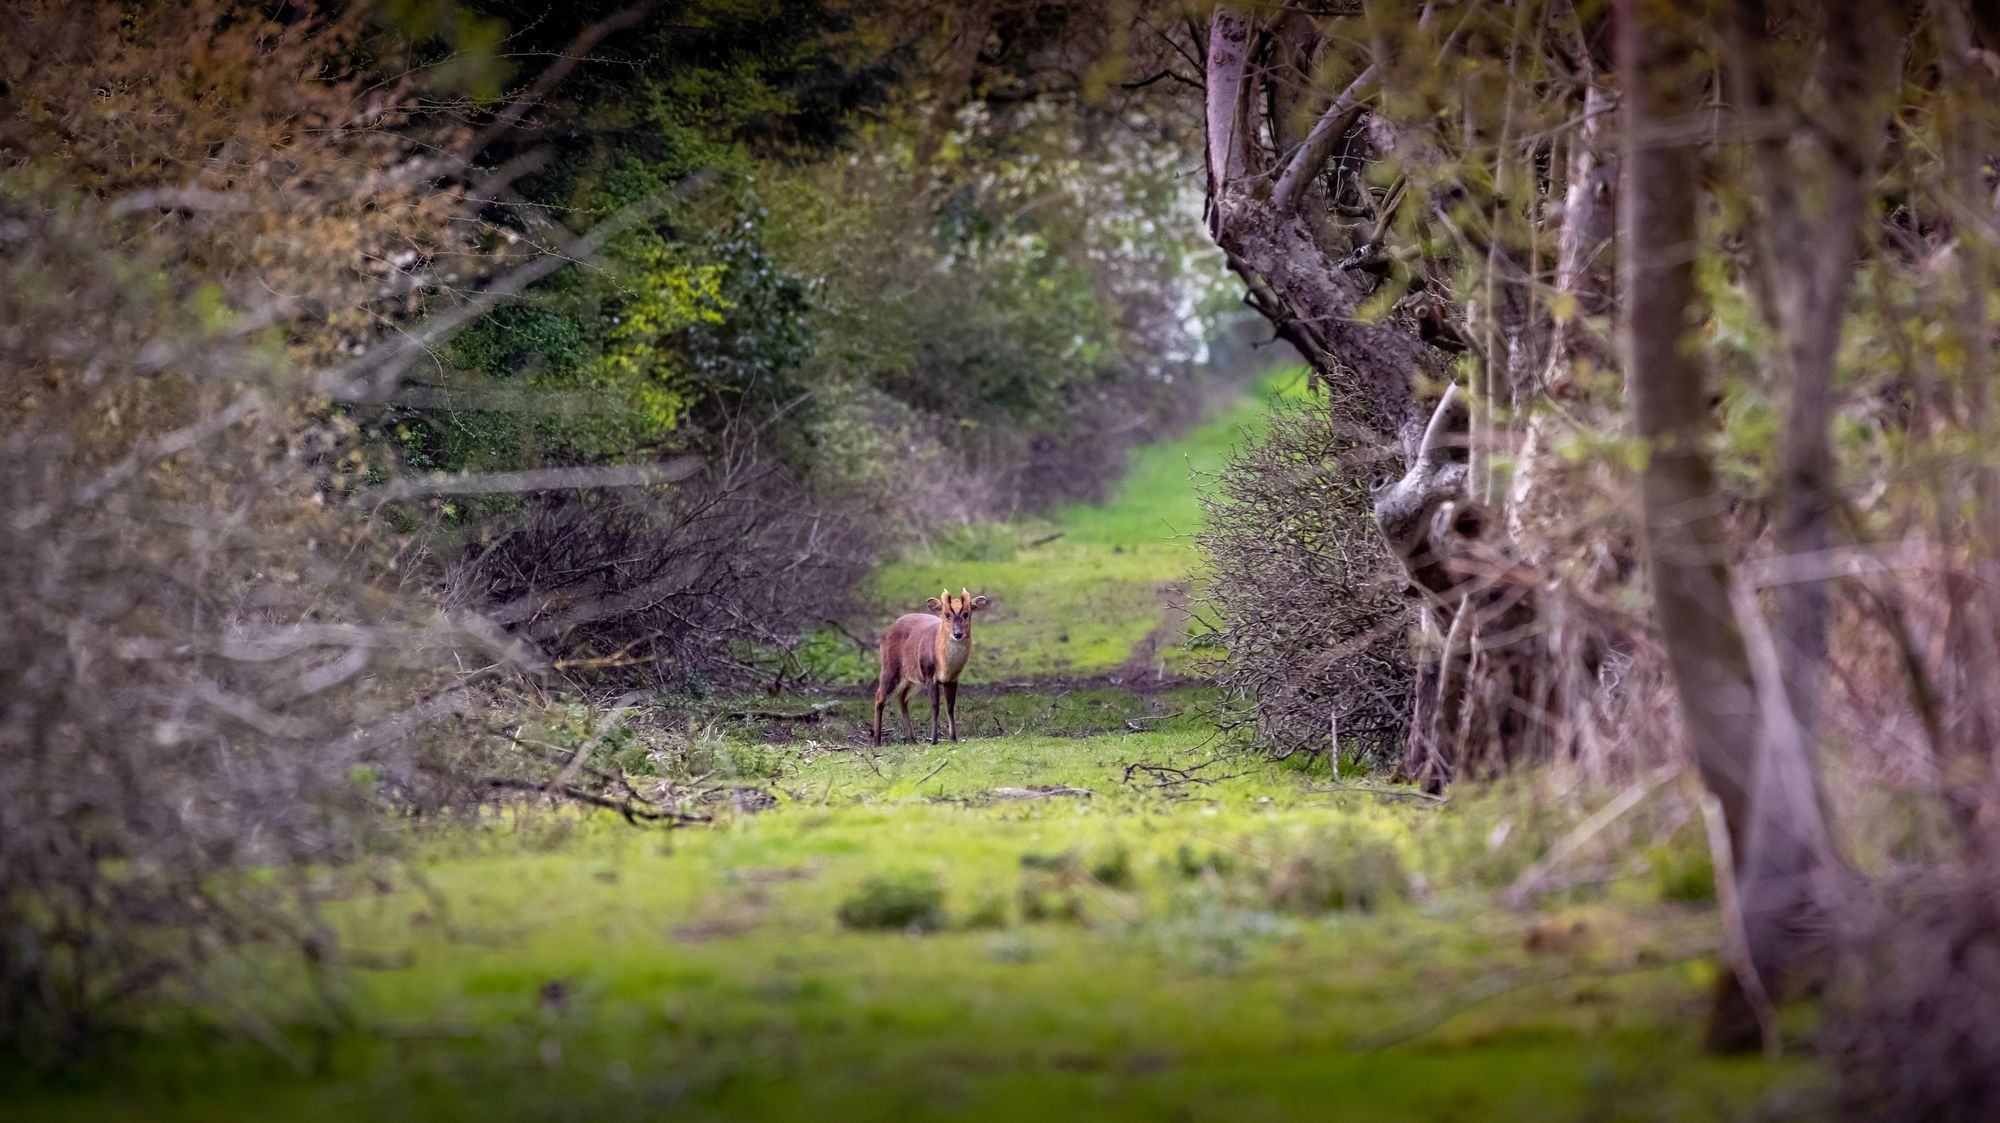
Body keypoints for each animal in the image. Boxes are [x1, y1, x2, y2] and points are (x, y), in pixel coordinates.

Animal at [876, 587, 992, 743]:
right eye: (947, 614)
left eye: (966, 613)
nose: (957, 634)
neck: (945, 666)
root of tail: (885, 633)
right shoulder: (930, 674)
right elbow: (935, 706)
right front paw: (934, 740)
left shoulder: (952, 679)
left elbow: (950, 707)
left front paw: (953, 738)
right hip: (891, 667)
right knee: (879, 696)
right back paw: (877, 741)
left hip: (914, 678)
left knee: (902, 698)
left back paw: (912, 739)